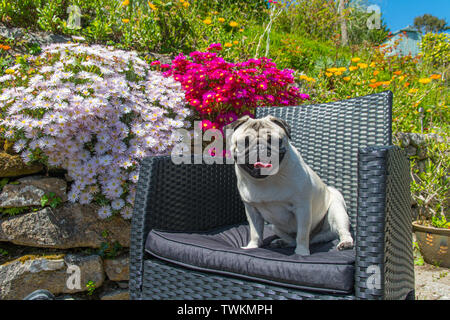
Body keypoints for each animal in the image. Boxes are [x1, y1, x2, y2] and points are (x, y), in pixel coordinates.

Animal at [227, 115, 354, 255]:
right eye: (245, 142)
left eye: (275, 141)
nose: (260, 147)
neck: (265, 180)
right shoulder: (252, 210)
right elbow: (255, 232)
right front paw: (252, 246)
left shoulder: (302, 208)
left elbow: (302, 234)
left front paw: (302, 252)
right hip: (275, 227)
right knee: (292, 239)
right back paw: (282, 242)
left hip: (337, 211)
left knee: (342, 231)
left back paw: (346, 243)